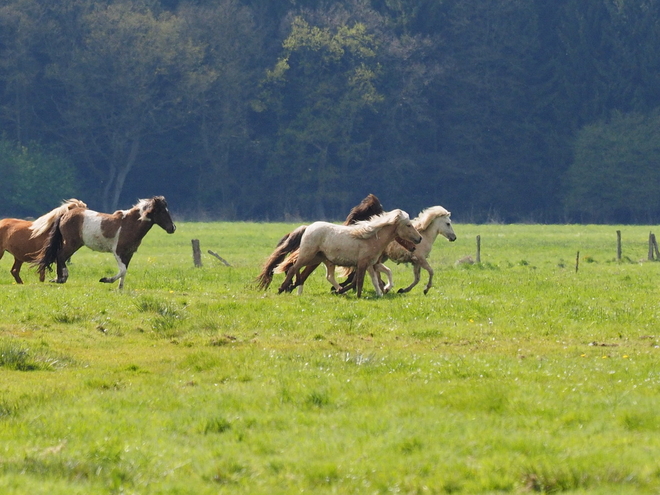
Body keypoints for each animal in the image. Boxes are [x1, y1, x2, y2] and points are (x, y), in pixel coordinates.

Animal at [35, 197, 175, 290]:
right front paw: (105, 280)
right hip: (72, 243)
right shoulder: (118, 252)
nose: (172, 228)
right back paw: (62, 278)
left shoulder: (129, 253)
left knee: (60, 257)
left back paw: (58, 279)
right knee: (60, 256)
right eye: (162, 211)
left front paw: (120, 288)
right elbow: (122, 270)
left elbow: (125, 271)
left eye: (167, 210)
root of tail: (66, 213)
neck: (130, 224)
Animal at [274, 209, 420, 298]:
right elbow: (360, 281)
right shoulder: (362, 264)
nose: (419, 239)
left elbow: (375, 279)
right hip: (308, 255)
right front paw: (359, 296)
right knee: (293, 268)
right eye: (408, 225)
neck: (371, 239)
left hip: (316, 258)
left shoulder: (370, 264)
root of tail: (308, 228)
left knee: (297, 267)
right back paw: (281, 289)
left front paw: (380, 293)